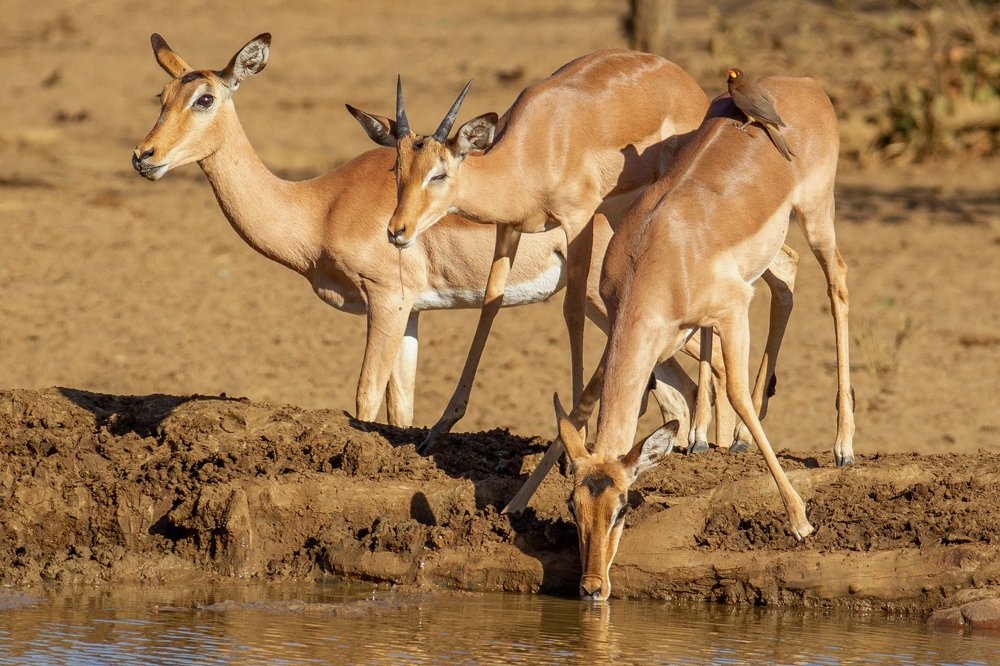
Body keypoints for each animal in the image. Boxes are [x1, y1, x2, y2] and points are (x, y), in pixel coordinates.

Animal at [129, 32, 712, 434]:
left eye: (205, 98)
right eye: (161, 94)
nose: (144, 156)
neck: (321, 207)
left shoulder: (385, 301)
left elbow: (365, 398)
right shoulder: (411, 312)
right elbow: (401, 407)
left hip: (608, 305)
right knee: (676, 393)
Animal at [556, 77, 855, 600]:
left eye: (623, 507)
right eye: (574, 508)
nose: (592, 587)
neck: (656, 256)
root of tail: (806, 85)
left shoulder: (734, 309)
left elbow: (736, 393)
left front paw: (799, 519)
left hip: (817, 215)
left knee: (836, 280)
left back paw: (843, 447)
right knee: (786, 281)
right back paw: (711, 439)